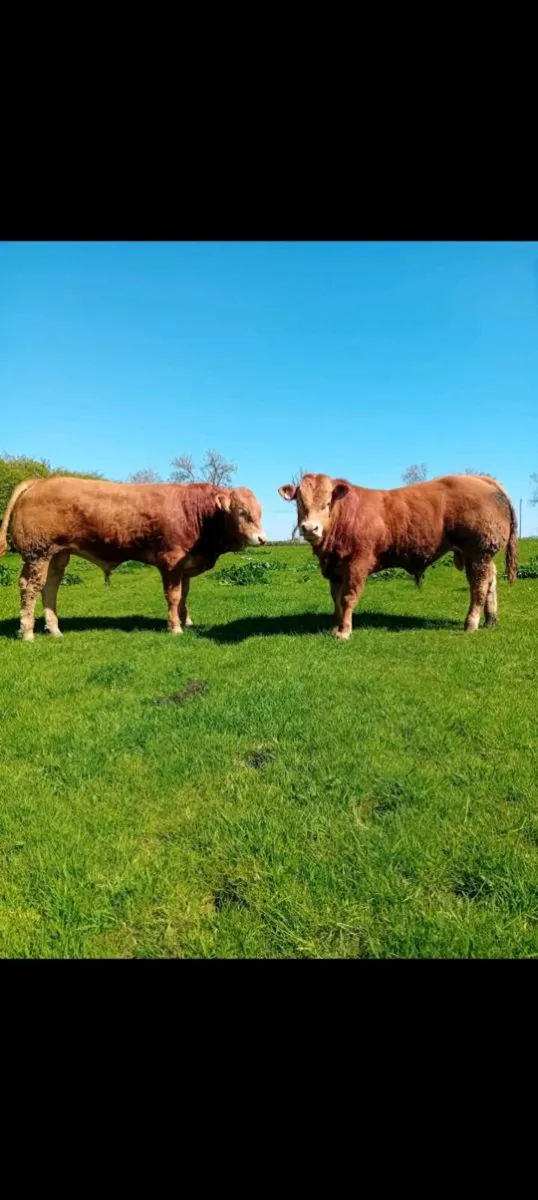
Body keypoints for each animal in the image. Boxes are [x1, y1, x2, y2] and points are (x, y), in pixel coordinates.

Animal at [0, 476, 266, 640]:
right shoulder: (171, 560)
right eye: (241, 512)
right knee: (30, 588)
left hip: (57, 554)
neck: (197, 513)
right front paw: (175, 627)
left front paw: (186, 620)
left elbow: (184, 596)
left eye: (260, 512)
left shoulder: (185, 564)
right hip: (38, 553)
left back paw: (54, 629)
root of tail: (40, 481)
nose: (262, 538)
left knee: (49, 588)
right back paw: (27, 632)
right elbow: (174, 596)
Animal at [278, 473, 518, 640]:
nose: (310, 528)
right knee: (490, 580)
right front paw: (335, 627)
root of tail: (479, 478)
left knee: (479, 586)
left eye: (327, 503)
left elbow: (347, 598)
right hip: (479, 556)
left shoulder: (357, 565)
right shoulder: (336, 569)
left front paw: (344, 632)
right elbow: (337, 600)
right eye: (299, 502)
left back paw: (471, 623)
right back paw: (490, 620)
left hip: (479, 552)